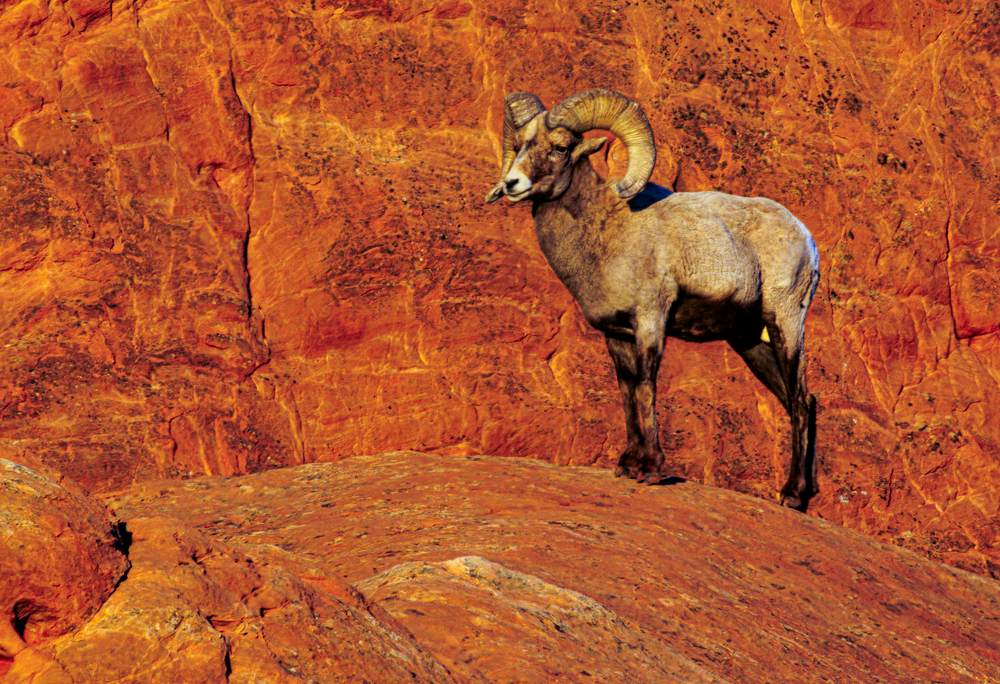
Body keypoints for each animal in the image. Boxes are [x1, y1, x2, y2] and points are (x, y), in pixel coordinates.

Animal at [485, 89, 820, 511]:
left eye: (561, 147)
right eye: (520, 145)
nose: (513, 183)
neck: (609, 233)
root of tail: (806, 237)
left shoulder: (650, 320)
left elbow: (646, 385)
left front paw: (650, 469)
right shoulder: (616, 335)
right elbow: (627, 390)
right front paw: (628, 464)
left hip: (785, 323)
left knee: (799, 399)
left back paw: (792, 495)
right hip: (748, 342)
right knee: (798, 400)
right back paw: (802, 495)